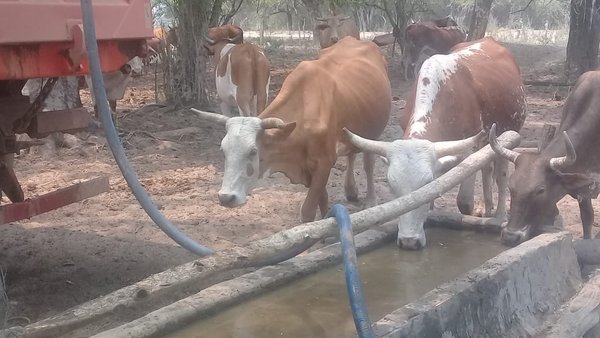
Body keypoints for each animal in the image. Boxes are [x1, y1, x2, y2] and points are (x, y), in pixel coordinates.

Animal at [191, 37, 390, 222]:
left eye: (253, 151)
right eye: (223, 150)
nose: (226, 197)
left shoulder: (324, 163)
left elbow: (308, 211)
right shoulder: (309, 170)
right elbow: (322, 200)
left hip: (374, 130)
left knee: (368, 163)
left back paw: (370, 199)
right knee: (351, 155)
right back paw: (351, 190)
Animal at [346, 37, 524, 250]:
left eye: (426, 183)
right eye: (392, 186)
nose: (408, 242)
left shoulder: (470, 148)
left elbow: (464, 202)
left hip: (506, 134)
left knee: (501, 175)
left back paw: (499, 215)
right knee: (486, 170)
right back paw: (486, 208)